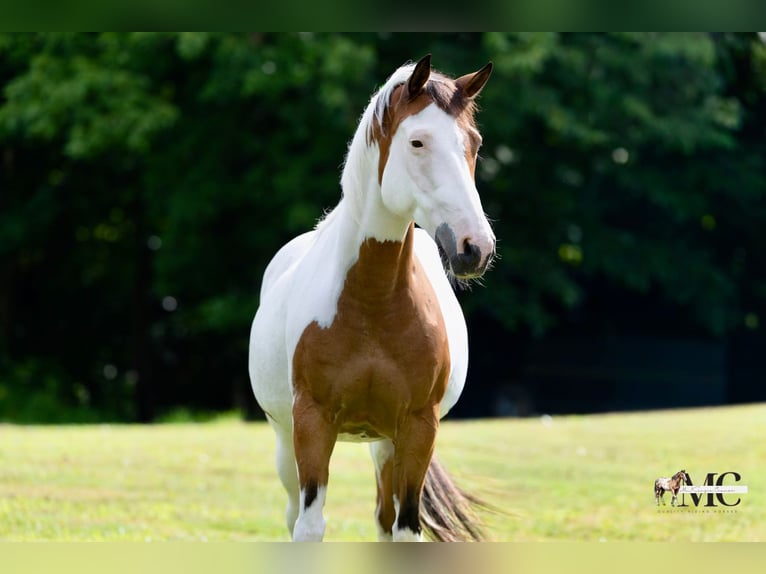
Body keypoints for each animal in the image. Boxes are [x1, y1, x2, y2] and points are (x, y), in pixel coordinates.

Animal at [248, 54, 496, 542]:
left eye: (474, 143)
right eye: (417, 141)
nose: (475, 247)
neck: (373, 303)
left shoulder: (417, 428)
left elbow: (404, 528)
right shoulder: (312, 423)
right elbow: (309, 526)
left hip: (385, 444)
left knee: (384, 517)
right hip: (285, 440)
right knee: (293, 513)